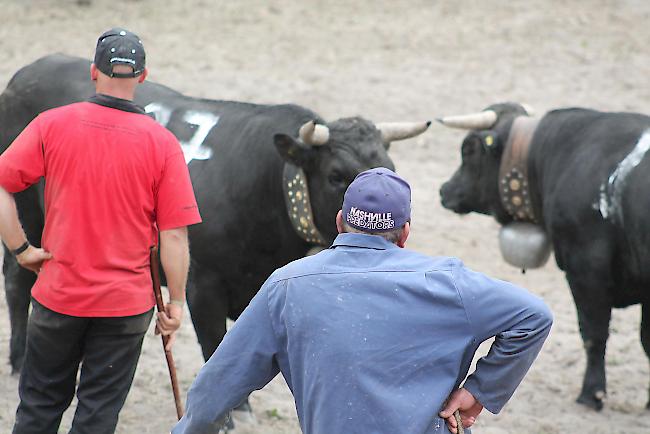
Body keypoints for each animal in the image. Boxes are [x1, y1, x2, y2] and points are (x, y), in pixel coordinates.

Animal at [2, 54, 428, 374]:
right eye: (336, 175)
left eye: (390, 167)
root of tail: (31, 70)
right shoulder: (201, 284)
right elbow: (214, 344)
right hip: (26, 210)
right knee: (19, 279)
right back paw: (20, 358)